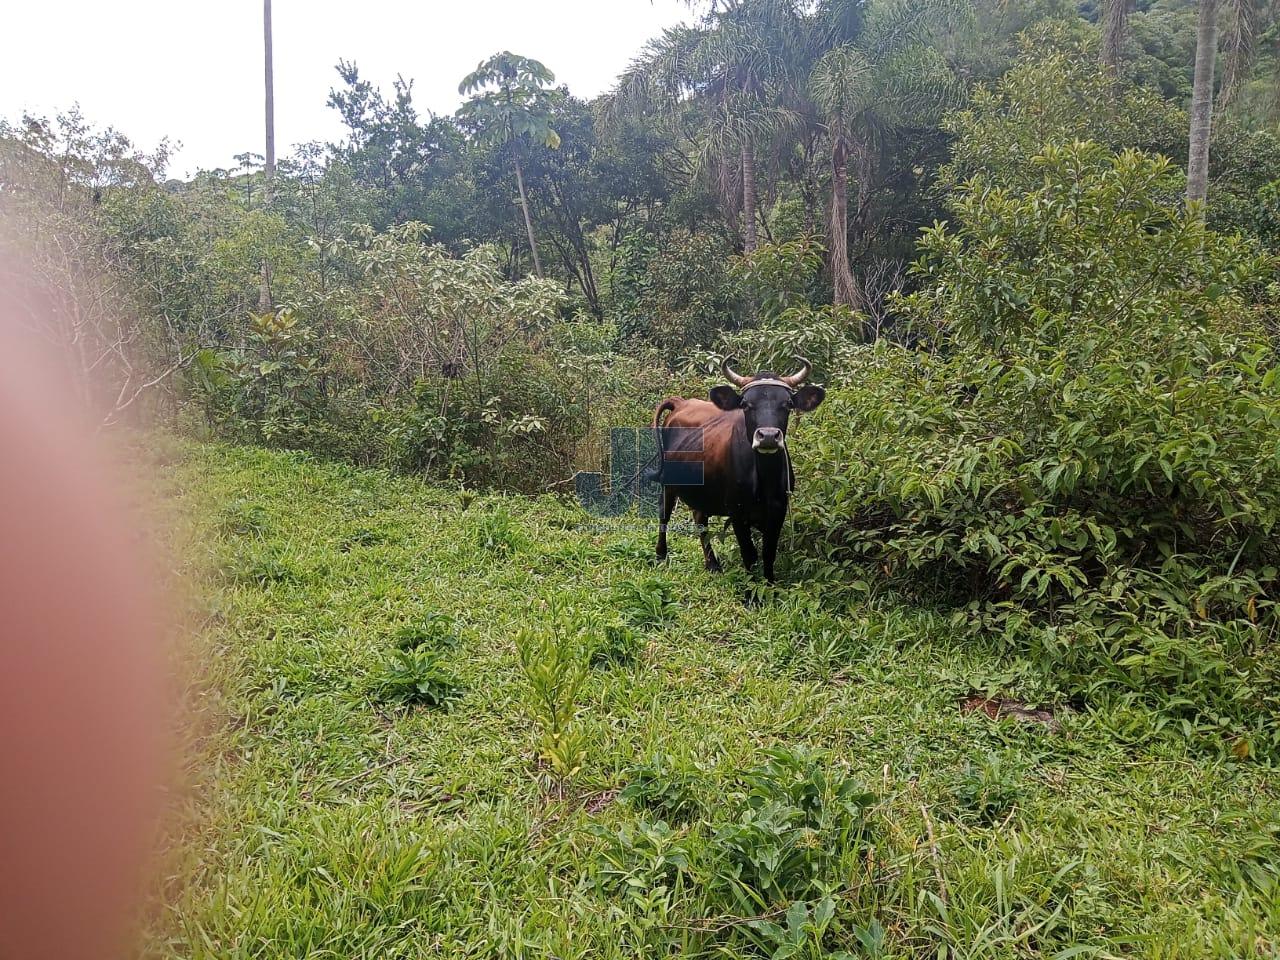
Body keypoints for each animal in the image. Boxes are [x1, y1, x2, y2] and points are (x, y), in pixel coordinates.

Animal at [655, 358, 824, 583]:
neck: (764, 479)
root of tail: (681, 402)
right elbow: (749, 553)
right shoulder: (737, 511)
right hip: (668, 483)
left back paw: (712, 564)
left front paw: (769, 584)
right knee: (664, 515)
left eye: (788, 404)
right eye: (745, 404)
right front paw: (751, 589)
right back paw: (660, 556)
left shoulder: (778, 510)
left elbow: (769, 552)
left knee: (700, 520)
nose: (768, 436)